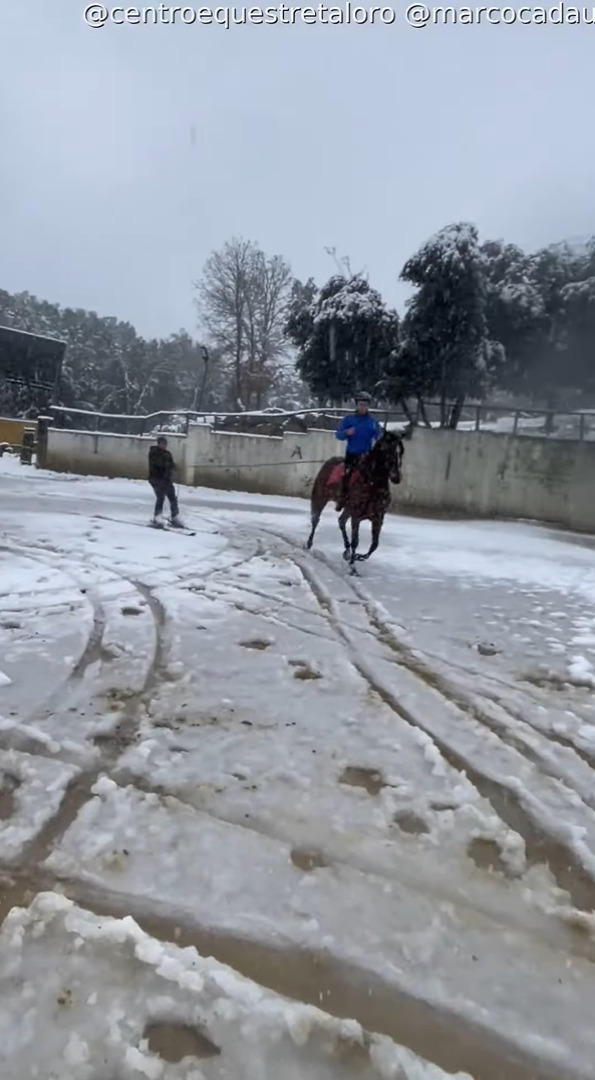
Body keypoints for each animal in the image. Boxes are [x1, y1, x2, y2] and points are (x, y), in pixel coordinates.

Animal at [306, 425, 410, 570]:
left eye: (401, 452)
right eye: (386, 450)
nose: (396, 477)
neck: (372, 484)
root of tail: (329, 462)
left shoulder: (378, 517)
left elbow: (374, 545)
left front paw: (357, 557)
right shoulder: (356, 516)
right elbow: (356, 541)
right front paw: (352, 568)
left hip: (347, 508)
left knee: (341, 521)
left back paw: (346, 551)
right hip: (320, 498)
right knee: (315, 520)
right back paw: (309, 543)